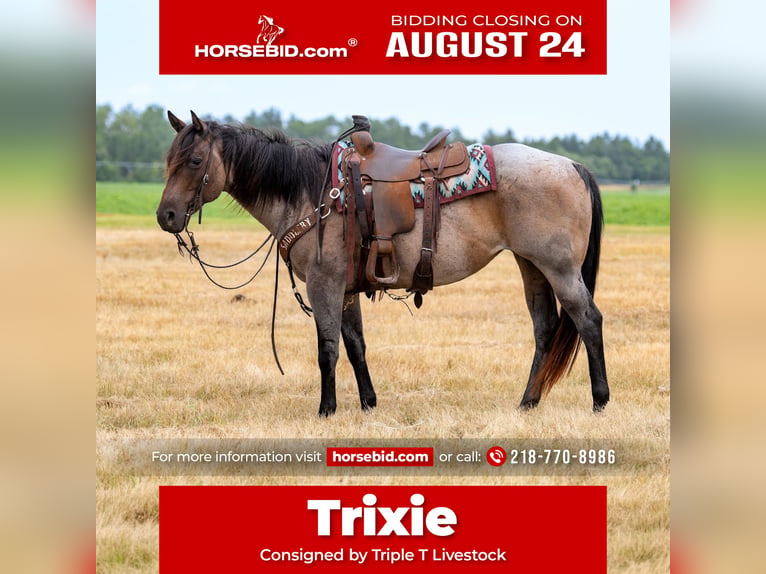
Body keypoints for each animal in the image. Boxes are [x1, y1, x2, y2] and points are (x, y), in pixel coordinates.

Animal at [156, 111, 609, 416]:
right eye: (168, 160)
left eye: (194, 162)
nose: (166, 216)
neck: (310, 192)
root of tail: (572, 165)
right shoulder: (346, 289)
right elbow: (355, 345)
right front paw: (368, 403)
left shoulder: (323, 284)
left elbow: (327, 349)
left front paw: (326, 410)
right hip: (531, 264)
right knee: (544, 328)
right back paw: (528, 402)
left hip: (560, 269)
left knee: (588, 320)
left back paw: (600, 400)